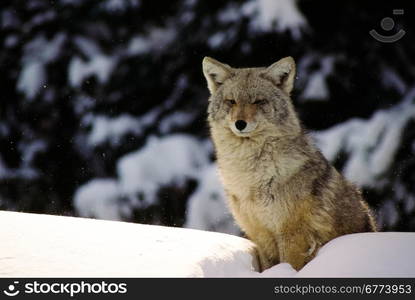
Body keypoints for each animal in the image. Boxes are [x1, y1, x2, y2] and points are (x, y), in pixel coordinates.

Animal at [203, 56, 378, 272]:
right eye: (232, 101)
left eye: (258, 101)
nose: (240, 124)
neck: (251, 176)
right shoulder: (260, 234)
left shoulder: (293, 233)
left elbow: (289, 265)